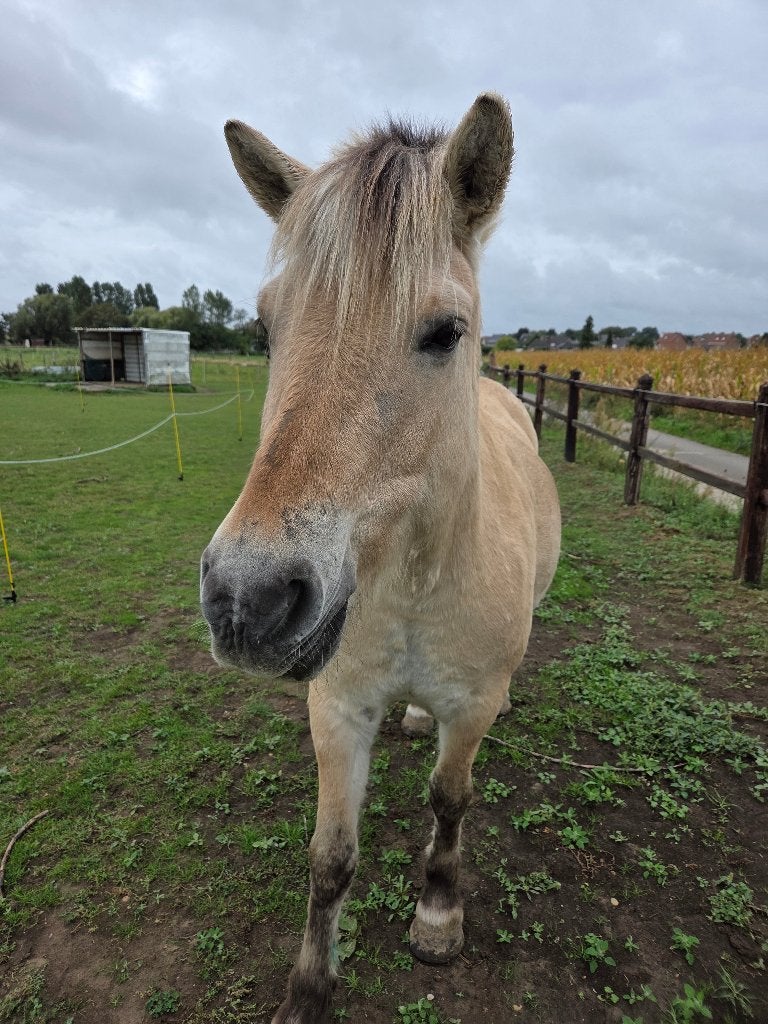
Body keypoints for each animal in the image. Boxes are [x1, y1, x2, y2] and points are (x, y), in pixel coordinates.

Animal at [200, 93, 561, 1024]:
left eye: (445, 331)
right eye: (264, 326)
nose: (249, 598)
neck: (413, 586)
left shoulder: (472, 710)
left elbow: (450, 799)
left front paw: (437, 919)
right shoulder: (336, 709)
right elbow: (330, 859)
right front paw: (309, 988)